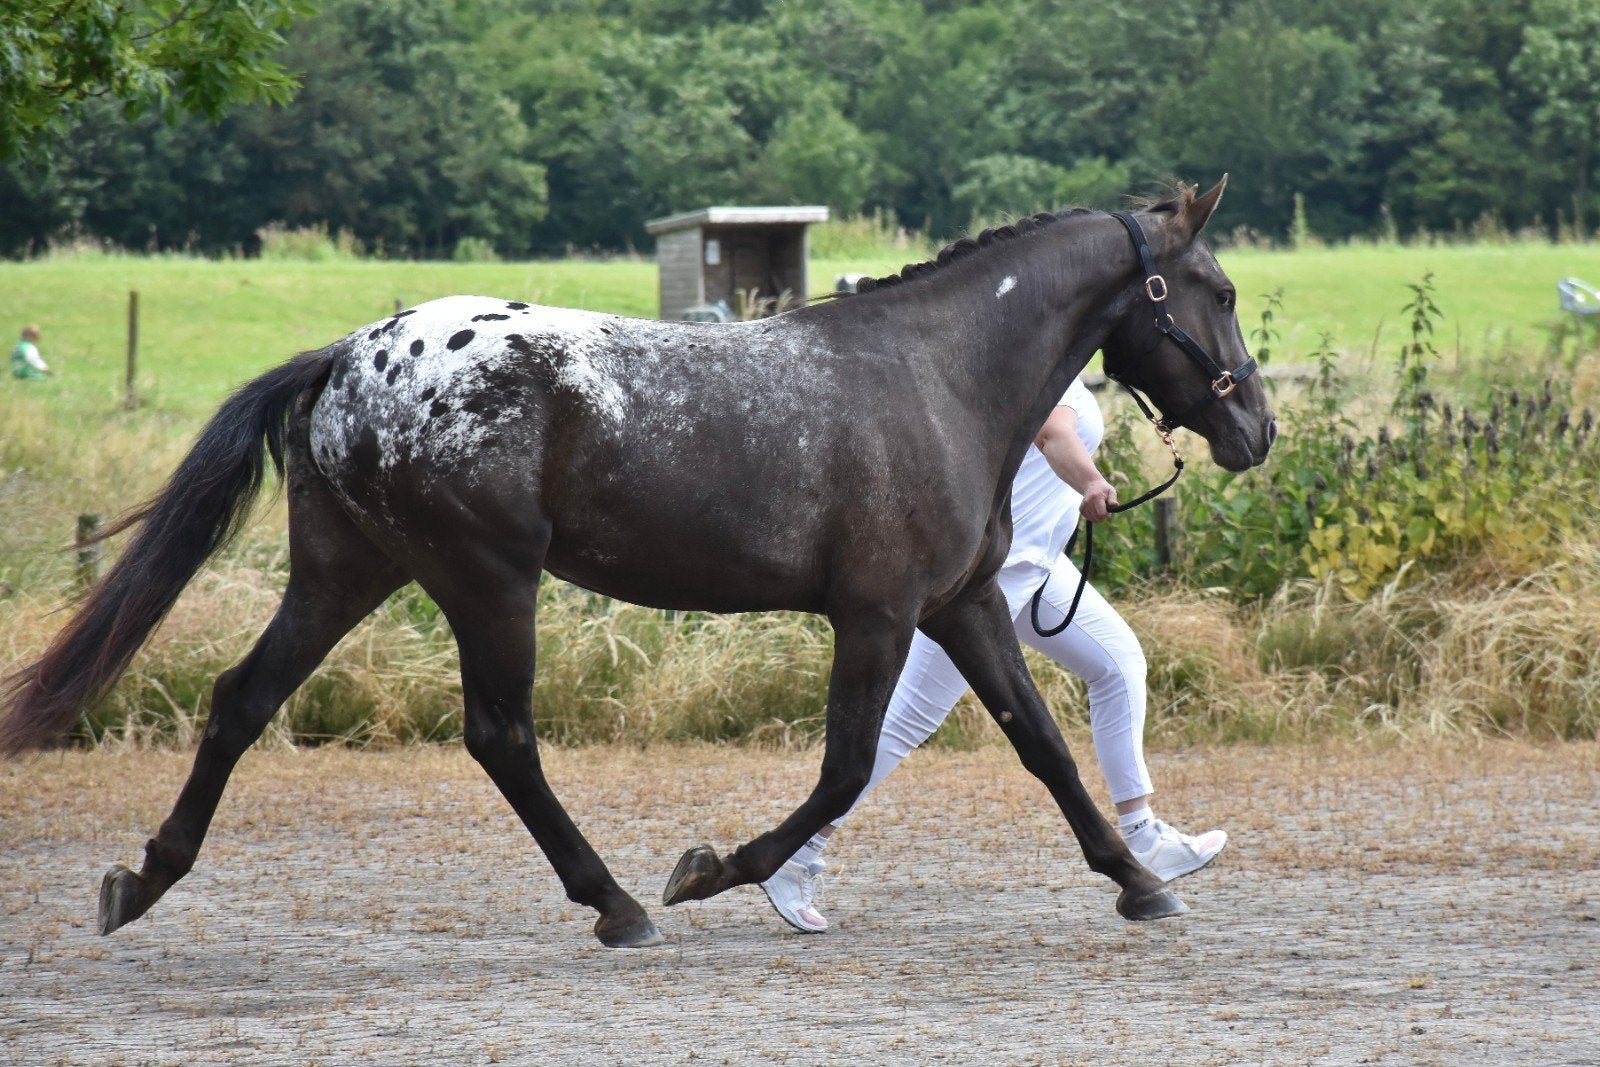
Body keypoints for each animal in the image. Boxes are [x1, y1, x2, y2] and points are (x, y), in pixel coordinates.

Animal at [0, 179, 1274, 949]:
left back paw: (140, 880)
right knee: (501, 735)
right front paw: (710, 869)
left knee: (241, 699)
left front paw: (1139, 878)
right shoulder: (874, 612)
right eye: (1212, 291)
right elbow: (845, 766)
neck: (935, 379)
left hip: (345, 571)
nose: (1255, 430)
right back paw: (615, 902)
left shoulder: (958, 605)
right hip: (485, 579)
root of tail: (350, 355)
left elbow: (1040, 742)